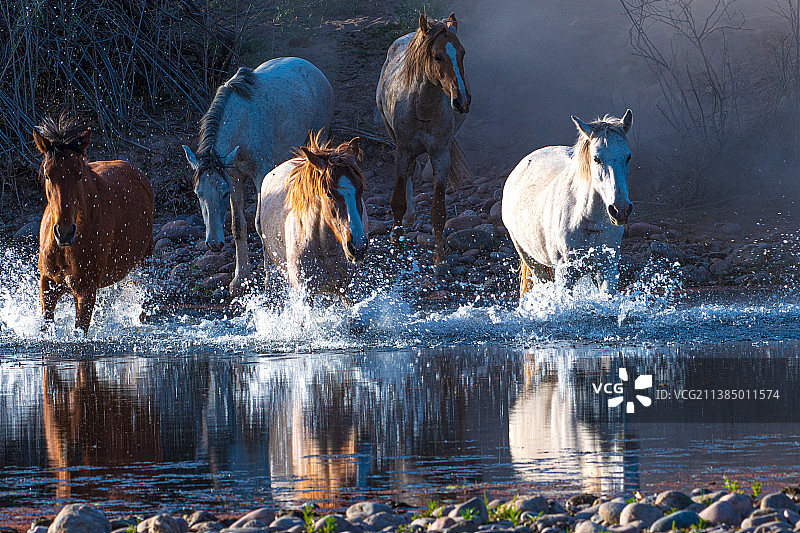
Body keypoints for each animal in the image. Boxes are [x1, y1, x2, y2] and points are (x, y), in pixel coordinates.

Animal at [34, 114, 154, 333]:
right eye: (47, 175)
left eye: (79, 174)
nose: (64, 232)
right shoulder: (47, 285)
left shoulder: (85, 290)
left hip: (144, 260)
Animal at [183, 57, 334, 294]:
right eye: (198, 194)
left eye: (223, 194)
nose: (214, 244)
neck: (242, 120)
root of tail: (314, 70)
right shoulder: (234, 177)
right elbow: (238, 225)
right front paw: (240, 279)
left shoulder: (260, 174)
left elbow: (260, 224)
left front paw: (270, 281)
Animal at [376, 12, 472, 264]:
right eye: (437, 56)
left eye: (462, 53)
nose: (462, 100)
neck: (422, 108)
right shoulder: (402, 151)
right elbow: (397, 202)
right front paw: (395, 244)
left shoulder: (440, 155)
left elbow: (438, 211)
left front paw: (440, 259)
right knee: (409, 174)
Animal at [502, 110, 634, 298]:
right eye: (596, 159)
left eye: (628, 157)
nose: (620, 209)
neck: (589, 222)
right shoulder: (565, 274)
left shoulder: (608, 269)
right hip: (531, 259)